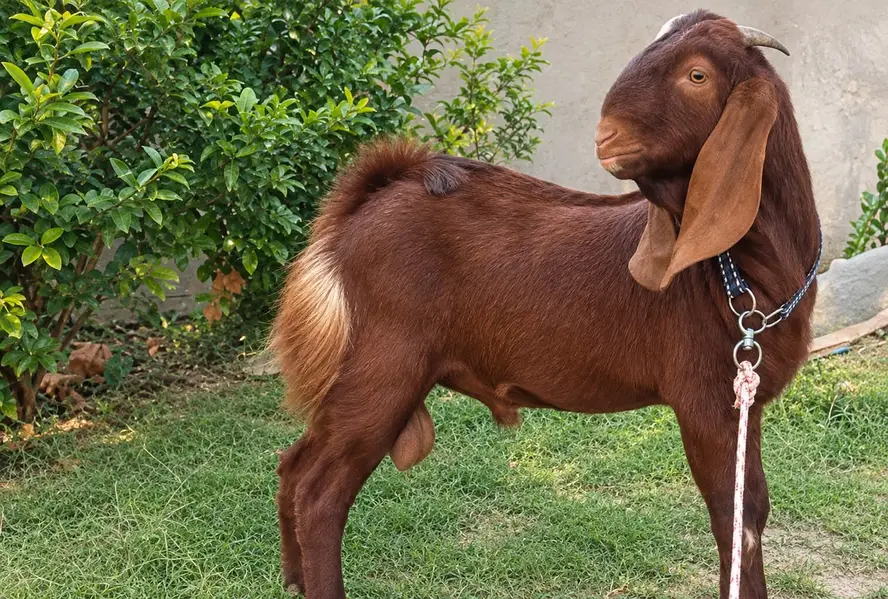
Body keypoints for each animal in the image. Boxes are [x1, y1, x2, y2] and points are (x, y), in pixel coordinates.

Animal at [271, 10, 821, 599]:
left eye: (697, 75)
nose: (607, 136)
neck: (742, 276)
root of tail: (361, 208)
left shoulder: (745, 402)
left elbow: (753, 507)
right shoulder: (705, 399)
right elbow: (733, 520)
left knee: (293, 466)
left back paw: (294, 580)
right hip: (384, 366)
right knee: (320, 491)